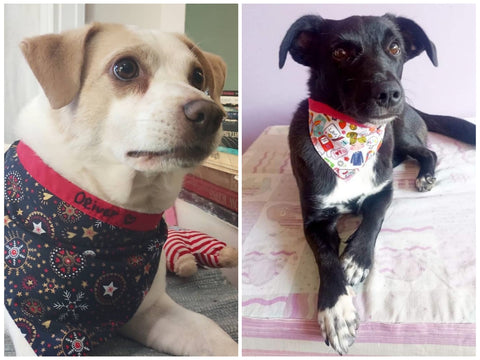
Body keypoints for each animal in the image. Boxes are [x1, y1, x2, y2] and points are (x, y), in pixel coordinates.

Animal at [3, 23, 236, 358]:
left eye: (197, 77)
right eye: (125, 68)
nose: (213, 114)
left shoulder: (151, 311)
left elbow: (213, 331)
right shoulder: (43, 332)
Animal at [280, 13, 474, 354]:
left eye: (395, 47)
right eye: (340, 52)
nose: (389, 93)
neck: (351, 141)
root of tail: (413, 108)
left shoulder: (384, 192)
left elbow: (373, 218)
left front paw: (356, 259)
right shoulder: (314, 220)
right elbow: (326, 258)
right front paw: (336, 310)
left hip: (402, 134)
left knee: (428, 151)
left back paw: (425, 176)